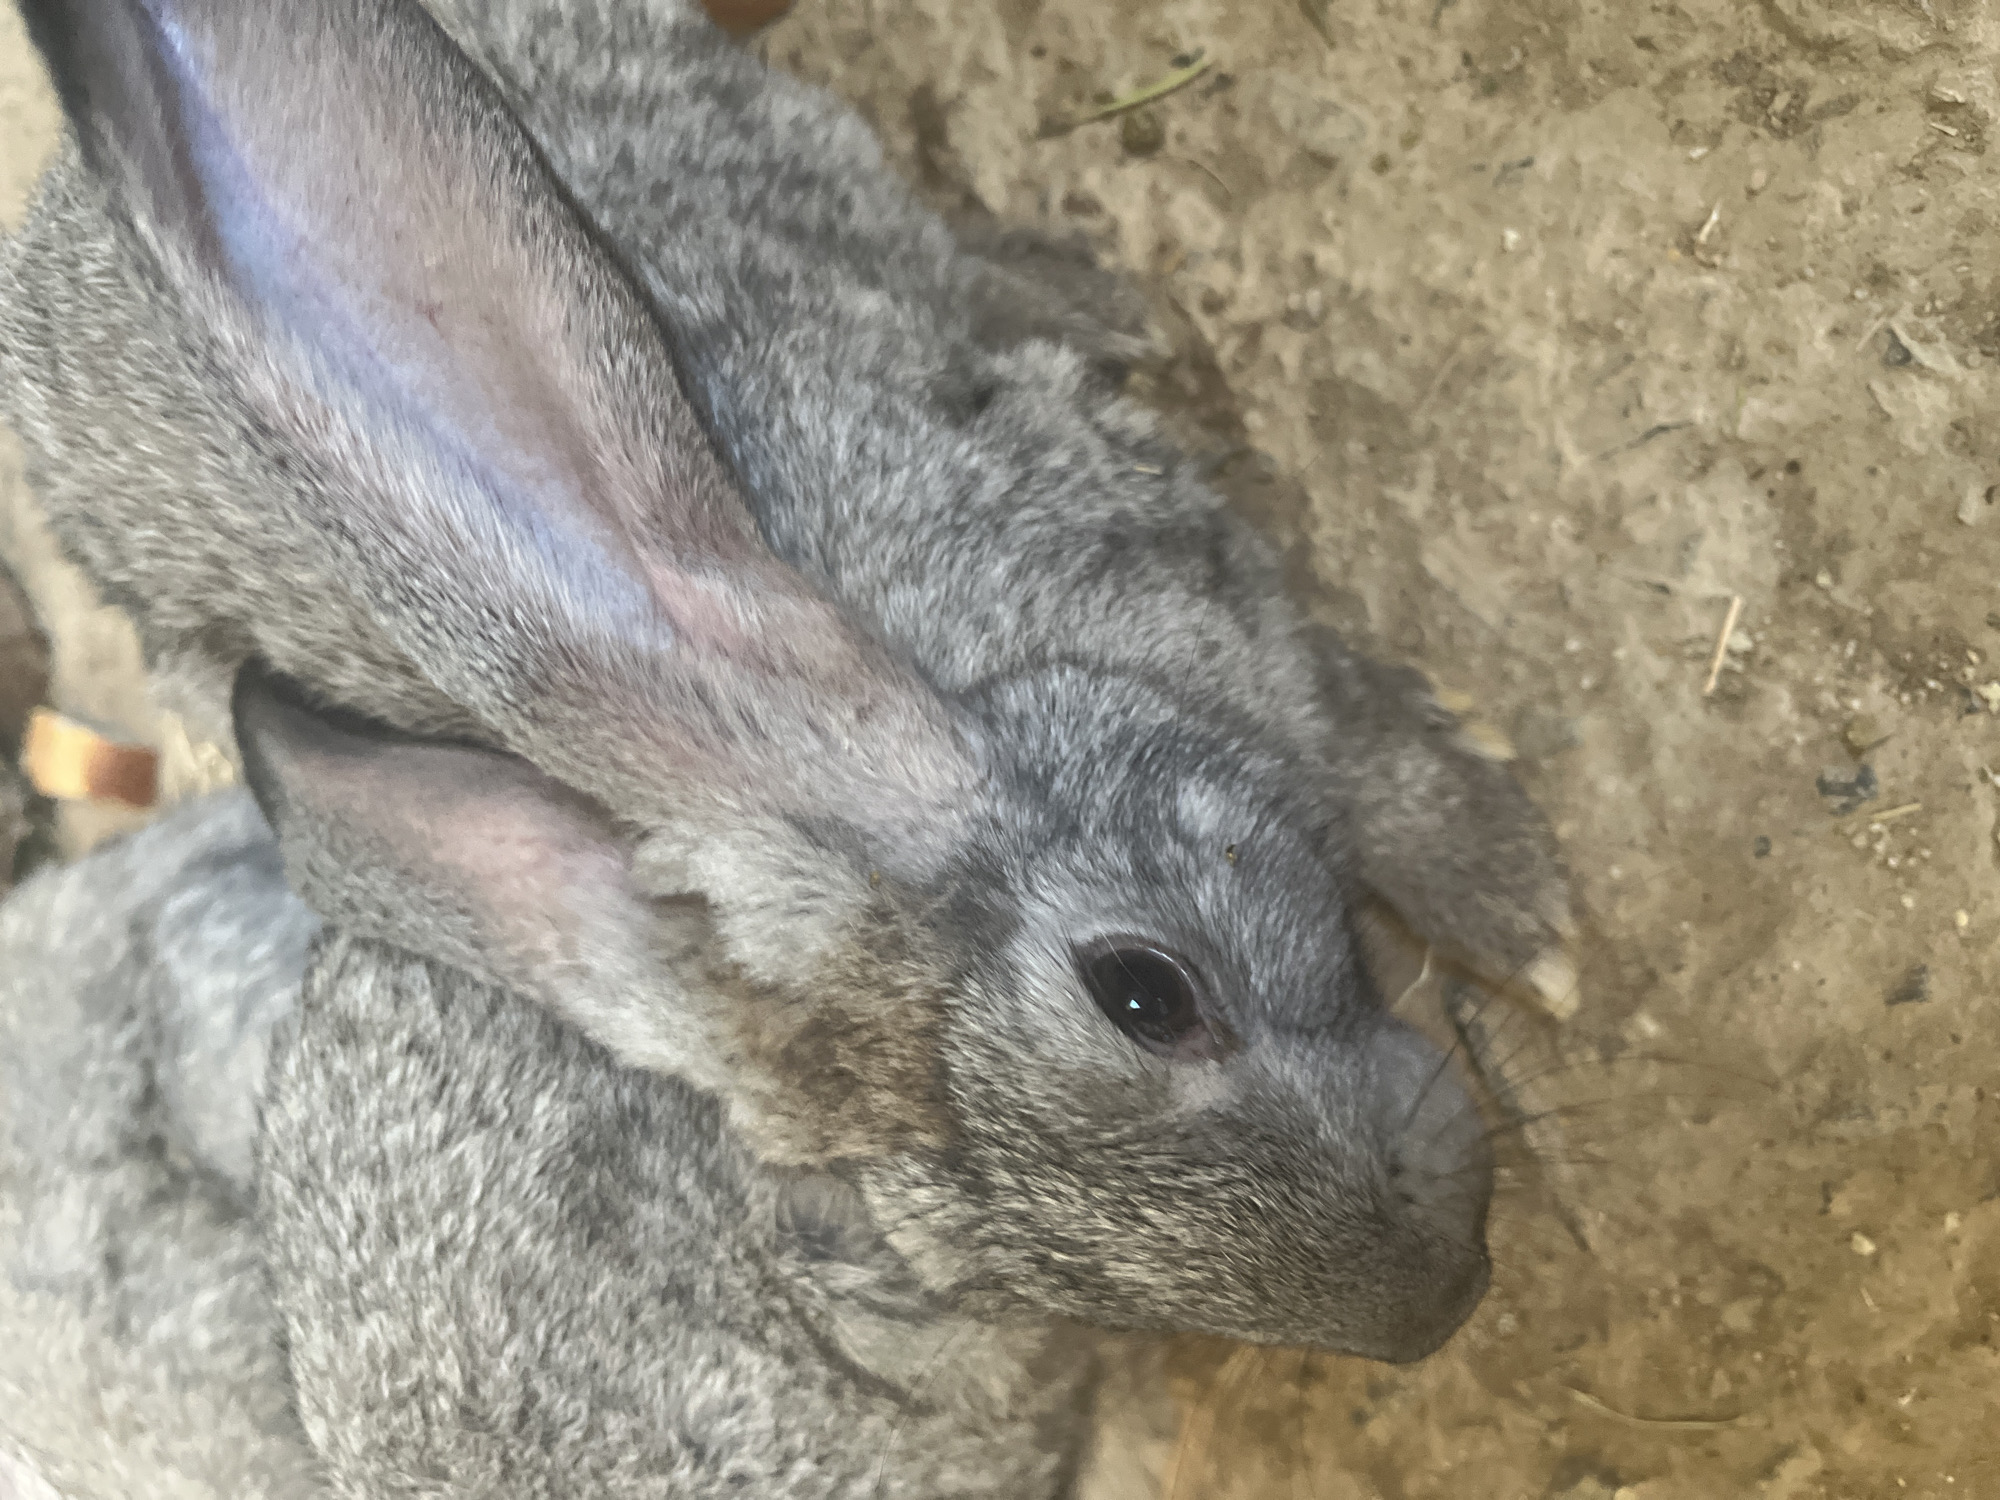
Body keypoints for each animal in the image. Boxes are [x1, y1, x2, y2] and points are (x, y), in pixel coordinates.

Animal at [0, 0, 1577, 1478]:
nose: (1436, 1297)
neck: (956, 666)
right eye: (965, 1259)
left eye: (1146, 992)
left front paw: (1527, 911)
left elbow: (1376, 764)